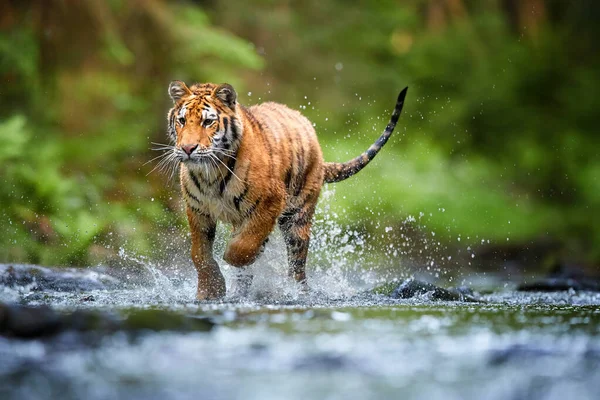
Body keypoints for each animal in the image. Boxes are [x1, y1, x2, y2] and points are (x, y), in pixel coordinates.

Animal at [164, 81, 408, 298]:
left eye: (207, 122)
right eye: (182, 121)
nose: (188, 148)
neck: (210, 174)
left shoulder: (270, 202)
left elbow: (244, 247)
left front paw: (230, 255)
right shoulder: (197, 210)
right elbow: (199, 254)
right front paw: (210, 292)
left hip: (297, 218)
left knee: (297, 266)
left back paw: (296, 292)